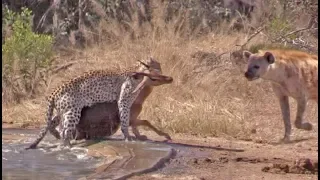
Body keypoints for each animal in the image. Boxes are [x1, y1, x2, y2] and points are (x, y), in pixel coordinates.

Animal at [26, 57, 169, 149]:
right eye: (158, 65)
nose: (164, 73)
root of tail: (55, 91)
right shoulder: (124, 101)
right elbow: (125, 119)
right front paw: (128, 137)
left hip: (65, 110)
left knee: (51, 124)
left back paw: (58, 137)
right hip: (73, 112)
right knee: (65, 130)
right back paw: (67, 145)